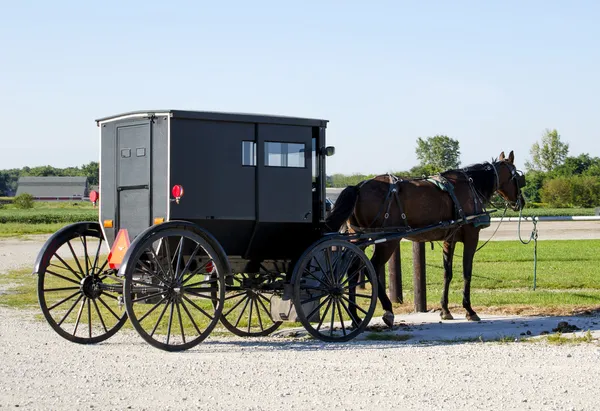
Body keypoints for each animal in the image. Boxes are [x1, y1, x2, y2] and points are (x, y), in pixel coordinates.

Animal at [324, 151, 524, 328]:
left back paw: (355, 316)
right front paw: (469, 310)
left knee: (353, 269)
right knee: (370, 267)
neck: (470, 187)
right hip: (387, 241)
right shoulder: (471, 236)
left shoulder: (449, 240)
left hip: (359, 239)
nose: (520, 202)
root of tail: (359, 187)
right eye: (517, 177)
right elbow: (467, 273)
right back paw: (387, 310)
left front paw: (445, 310)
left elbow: (447, 273)